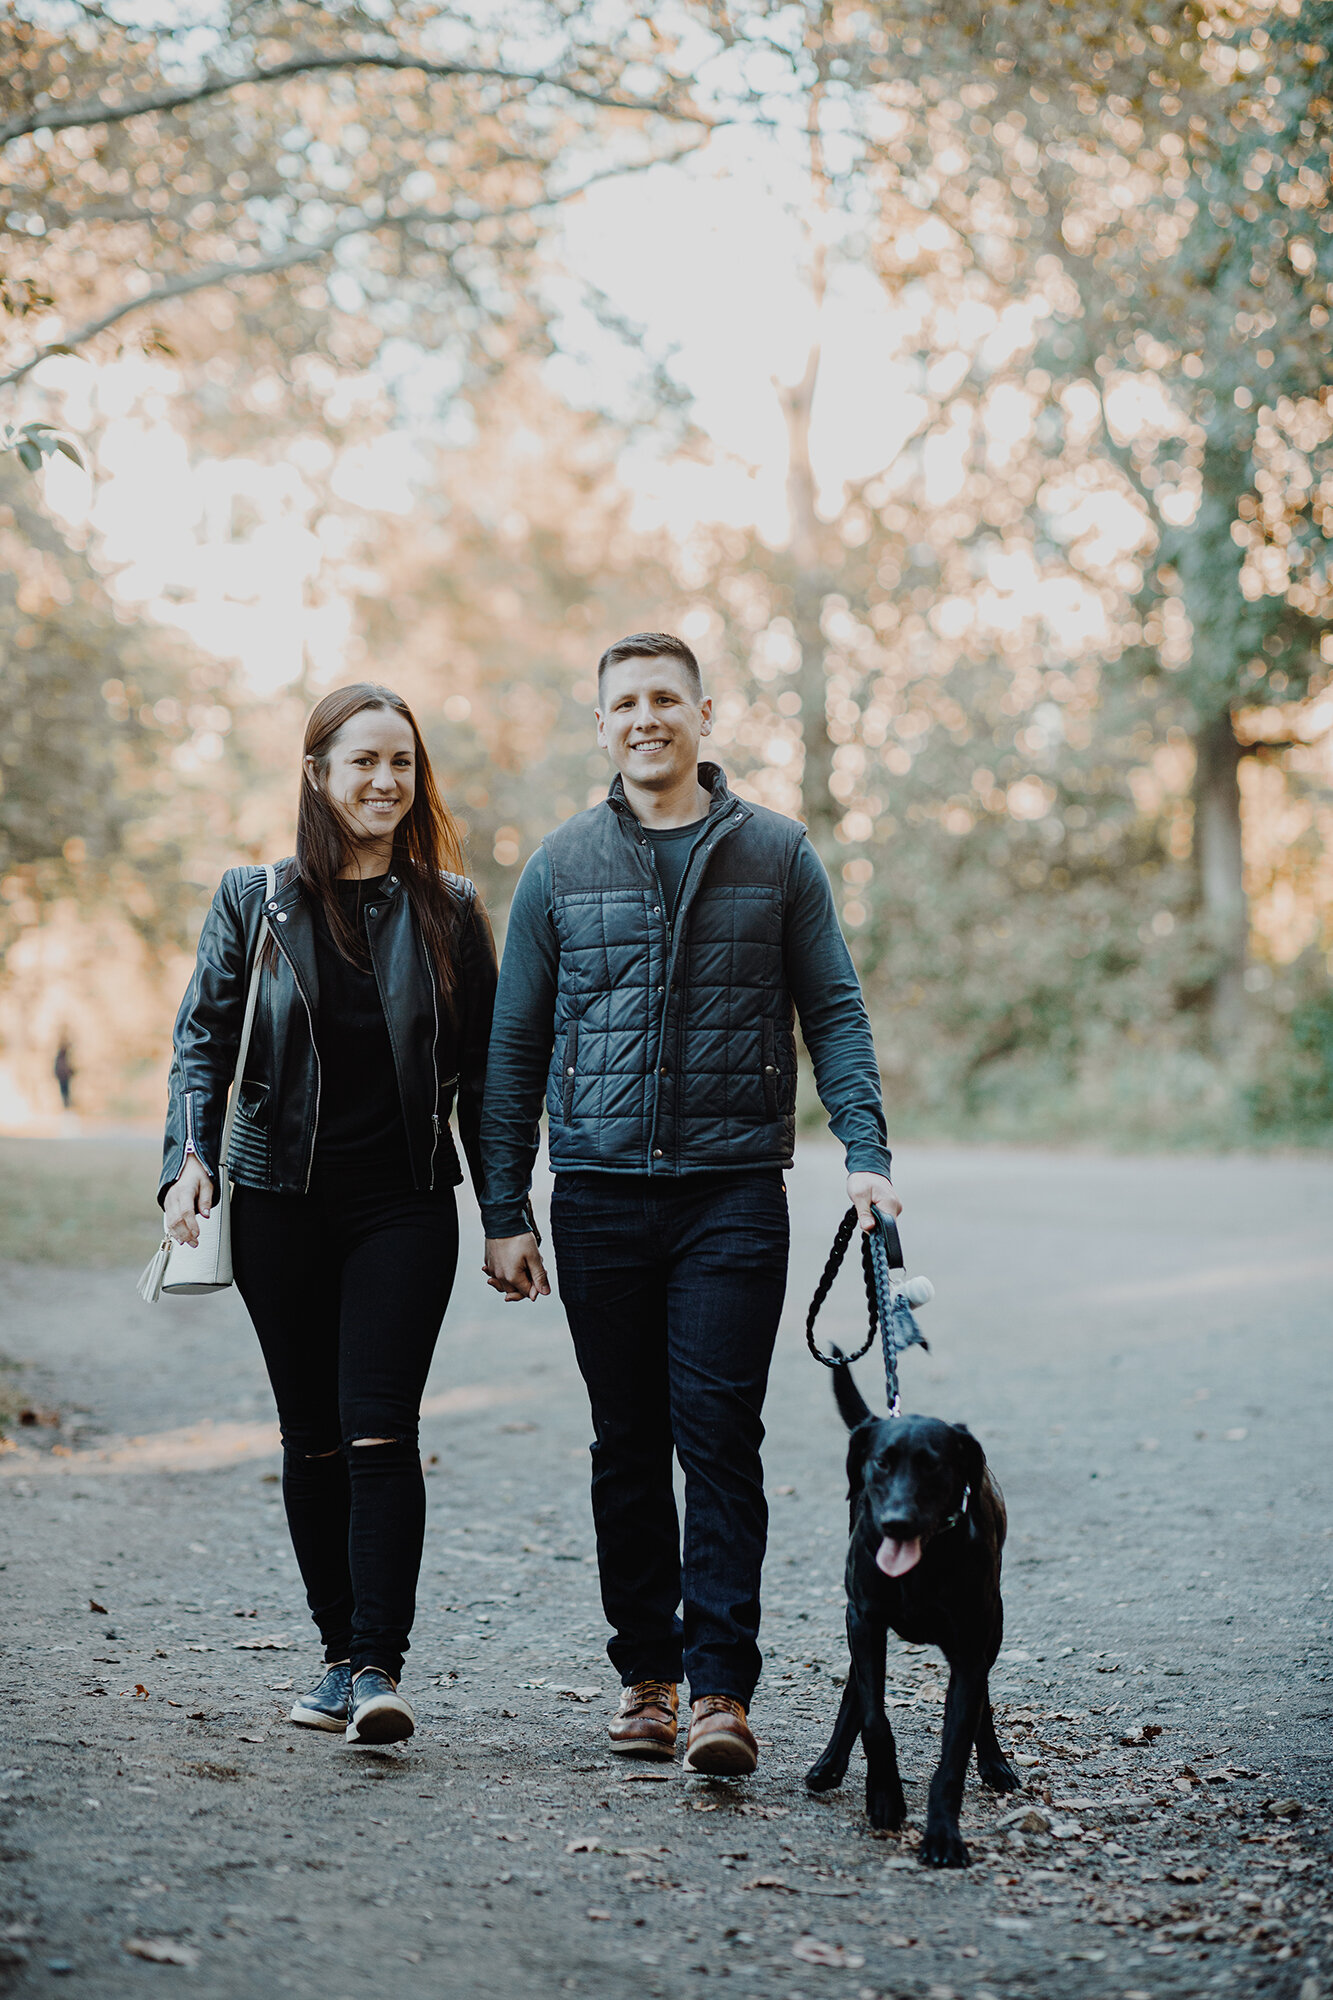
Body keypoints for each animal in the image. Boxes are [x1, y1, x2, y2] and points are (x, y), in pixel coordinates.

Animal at [800, 1352, 1016, 1864]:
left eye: (933, 1467)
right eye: (882, 1462)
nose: (896, 1523)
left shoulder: (969, 1649)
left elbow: (955, 1748)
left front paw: (943, 1836)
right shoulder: (863, 1620)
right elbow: (875, 1718)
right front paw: (884, 1798)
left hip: (993, 1628)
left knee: (984, 1698)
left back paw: (994, 1762)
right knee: (856, 1690)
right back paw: (830, 1764)